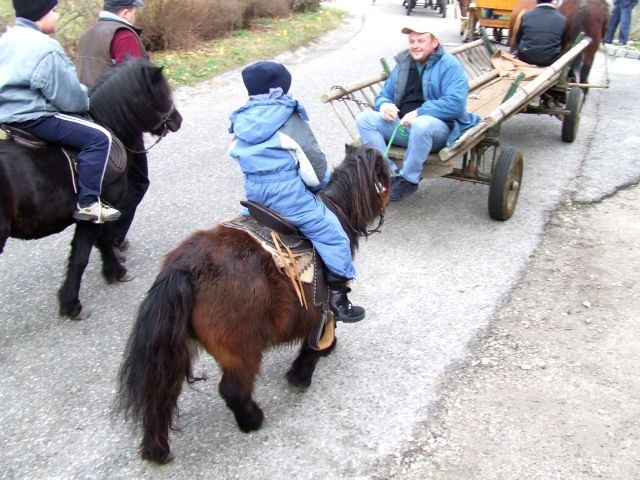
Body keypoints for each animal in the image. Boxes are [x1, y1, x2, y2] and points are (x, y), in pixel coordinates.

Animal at [0, 59, 182, 318]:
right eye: (163, 93)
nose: (178, 120)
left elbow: (94, 246)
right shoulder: (95, 214)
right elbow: (84, 254)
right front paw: (74, 302)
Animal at [115, 143, 390, 464]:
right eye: (385, 174)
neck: (337, 209)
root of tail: (183, 269)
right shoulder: (320, 311)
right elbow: (318, 336)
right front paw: (304, 372)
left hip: (176, 348)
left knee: (161, 392)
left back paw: (156, 449)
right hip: (241, 351)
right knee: (232, 390)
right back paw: (252, 420)